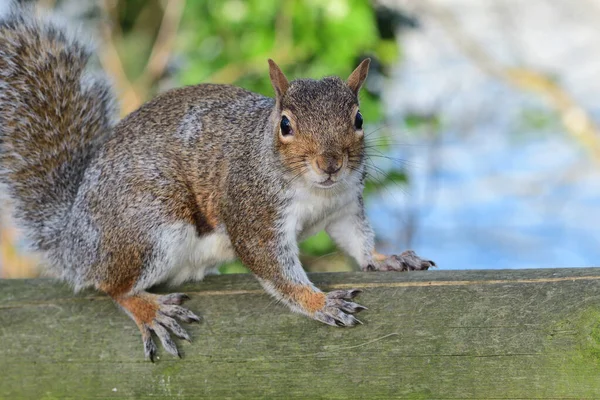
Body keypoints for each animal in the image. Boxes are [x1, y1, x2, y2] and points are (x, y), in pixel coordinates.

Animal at [0, 9, 434, 360]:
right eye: (286, 125)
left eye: (358, 119)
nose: (330, 164)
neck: (317, 191)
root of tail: (73, 239)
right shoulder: (253, 213)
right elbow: (274, 268)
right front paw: (319, 302)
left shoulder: (343, 205)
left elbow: (356, 239)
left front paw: (386, 259)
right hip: (150, 227)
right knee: (113, 287)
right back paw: (150, 310)